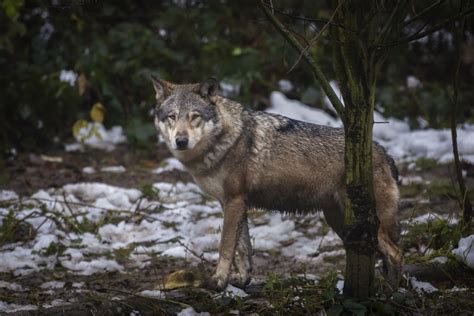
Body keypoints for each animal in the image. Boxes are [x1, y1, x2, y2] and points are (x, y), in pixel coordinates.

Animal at [152, 76, 404, 292]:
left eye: (195, 116)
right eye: (172, 117)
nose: (181, 141)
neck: (223, 142)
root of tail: (384, 153)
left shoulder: (234, 201)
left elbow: (225, 246)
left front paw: (218, 282)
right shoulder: (234, 203)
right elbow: (243, 249)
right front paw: (242, 280)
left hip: (363, 223)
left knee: (396, 254)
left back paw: (391, 293)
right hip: (341, 222)